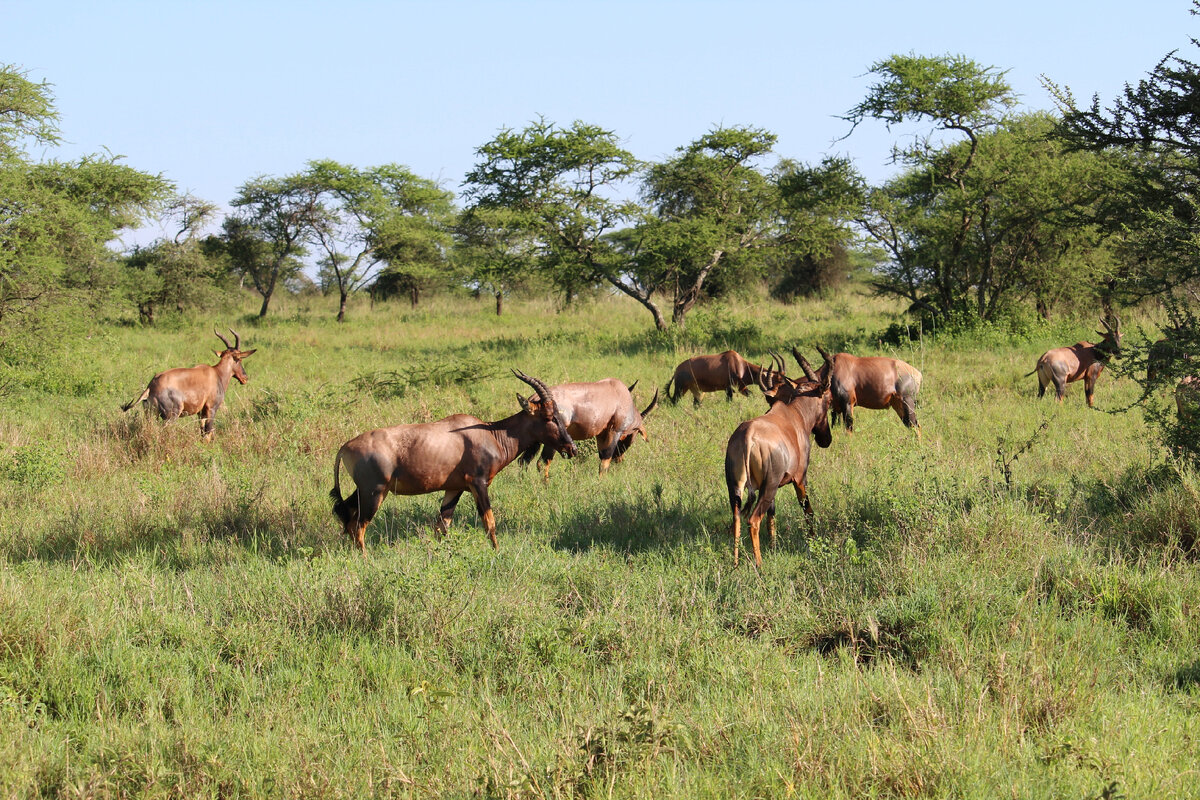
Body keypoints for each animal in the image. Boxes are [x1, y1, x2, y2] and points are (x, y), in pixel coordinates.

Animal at [120, 326, 256, 443]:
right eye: (239, 359)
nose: (245, 378)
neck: (216, 373)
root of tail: (151, 386)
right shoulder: (211, 408)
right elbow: (208, 432)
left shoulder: (201, 412)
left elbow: (202, 432)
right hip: (171, 415)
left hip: (149, 415)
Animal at [326, 371, 573, 554]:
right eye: (548, 416)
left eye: (558, 415)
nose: (571, 448)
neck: (490, 433)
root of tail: (345, 447)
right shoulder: (478, 484)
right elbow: (489, 521)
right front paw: (497, 552)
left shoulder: (454, 489)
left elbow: (442, 526)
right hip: (374, 492)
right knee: (359, 525)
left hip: (366, 491)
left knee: (347, 517)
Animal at [520, 381, 662, 479]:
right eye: (631, 436)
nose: (619, 459)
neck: (617, 392)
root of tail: (534, 399)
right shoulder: (614, 431)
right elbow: (605, 461)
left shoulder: (601, 434)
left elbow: (601, 456)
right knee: (542, 462)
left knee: (524, 460)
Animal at [720, 352, 835, 568]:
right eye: (829, 399)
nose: (826, 439)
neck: (793, 415)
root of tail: (748, 436)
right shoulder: (799, 479)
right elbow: (808, 510)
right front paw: (813, 543)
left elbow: (772, 517)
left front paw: (773, 548)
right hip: (769, 485)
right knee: (753, 520)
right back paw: (759, 565)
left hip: (737, 488)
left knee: (736, 519)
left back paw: (736, 563)